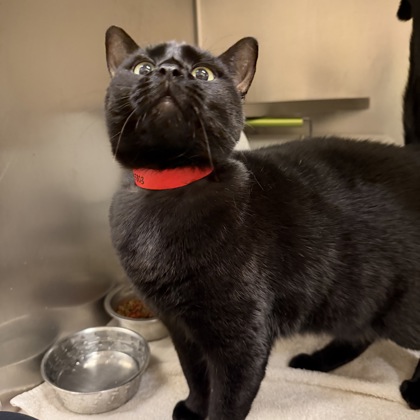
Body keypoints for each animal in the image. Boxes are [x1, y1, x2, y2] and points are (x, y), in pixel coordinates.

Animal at [104, 25, 420, 419]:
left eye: (203, 73)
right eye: (143, 67)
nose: (169, 71)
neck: (168, 192)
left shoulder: (242, 340)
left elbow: (227, 401)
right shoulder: (179, 326)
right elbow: (194, 374)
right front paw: (193, 408)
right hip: (357, 295)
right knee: (361, 333)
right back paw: (314, 362)